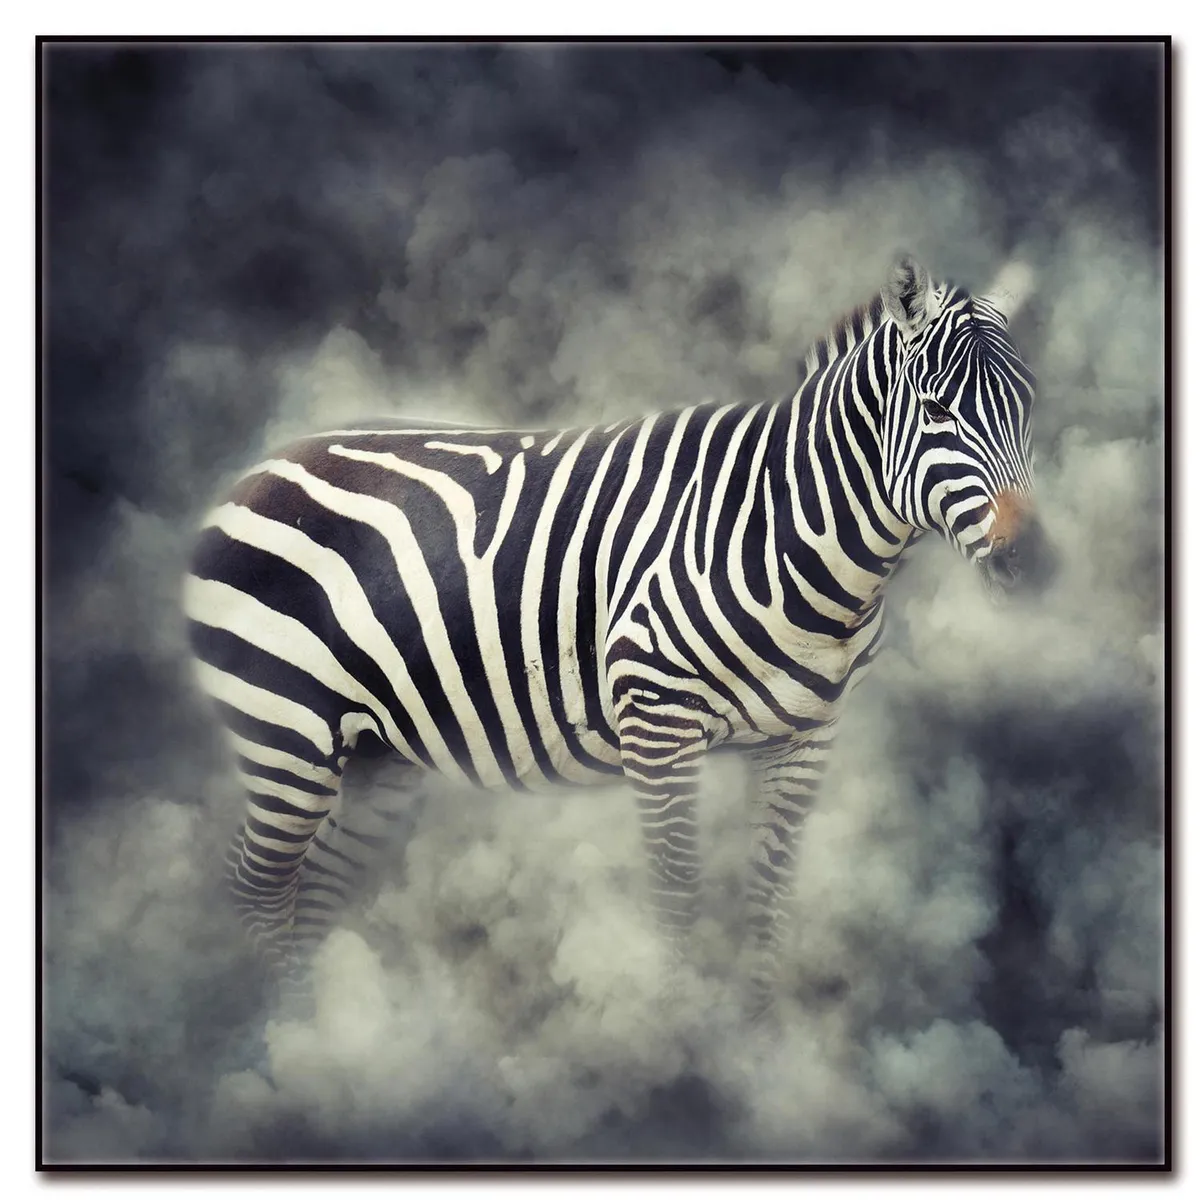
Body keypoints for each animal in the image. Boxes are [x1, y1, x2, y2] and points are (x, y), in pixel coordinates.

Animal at [184, 254, 1056, 1018]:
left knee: (312, 890)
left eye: (1028, 408)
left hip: (374, 752)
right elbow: (677, 897)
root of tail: (257, 467)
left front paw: (759, 1045)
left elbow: (766, 901)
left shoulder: (805, 739)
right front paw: (680, 1052)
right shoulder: (658, 725)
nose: (1029, 562)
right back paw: (297, 1038)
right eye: (938, 410)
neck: (793, 542)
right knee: (256, 885)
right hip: (286, 731)